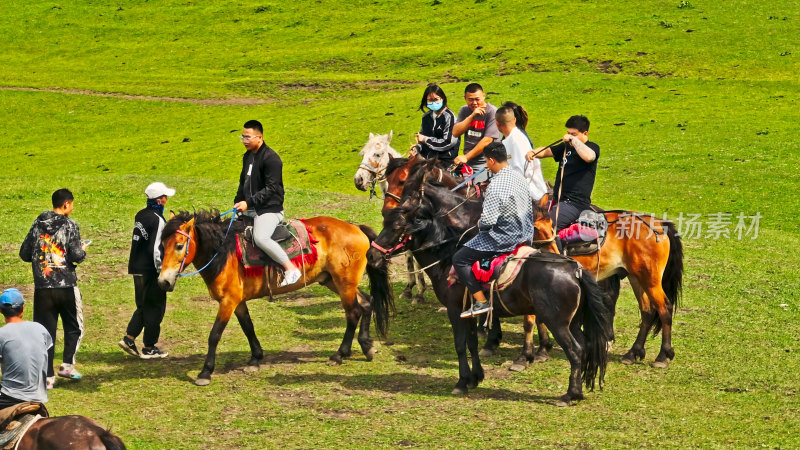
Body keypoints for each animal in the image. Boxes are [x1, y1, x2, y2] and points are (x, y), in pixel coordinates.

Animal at [157, 210, 394, 384]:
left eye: (179, 245)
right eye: (161, 245)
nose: (163, 282)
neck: (224, 253)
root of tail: (356, 228)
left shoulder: (228, 302)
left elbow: (214, 335)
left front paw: (205, 372)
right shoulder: (238, 302)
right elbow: (248, 327)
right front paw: (255, 358)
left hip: (344, 284)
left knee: (353, 312)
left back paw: (339, 355)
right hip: (333, 281)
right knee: (367, 303)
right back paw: (366, 346)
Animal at [350, 132, 424, 304]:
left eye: (377, 154)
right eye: (363, 154)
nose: (358, 180)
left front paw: (420, 293)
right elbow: (409, 255)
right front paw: (409, 289)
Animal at [368, 163, 612, 404]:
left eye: (396, 226)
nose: (372, 255)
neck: (447, 255)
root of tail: (574, 270)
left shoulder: (455, 309)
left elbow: (460, 344)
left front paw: (462, 382)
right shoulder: (468, 312)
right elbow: (472, 343)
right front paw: (476, 377)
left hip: (558, 323)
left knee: (575, 350)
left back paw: (570, 394)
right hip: (573, 322)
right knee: (585, 347)